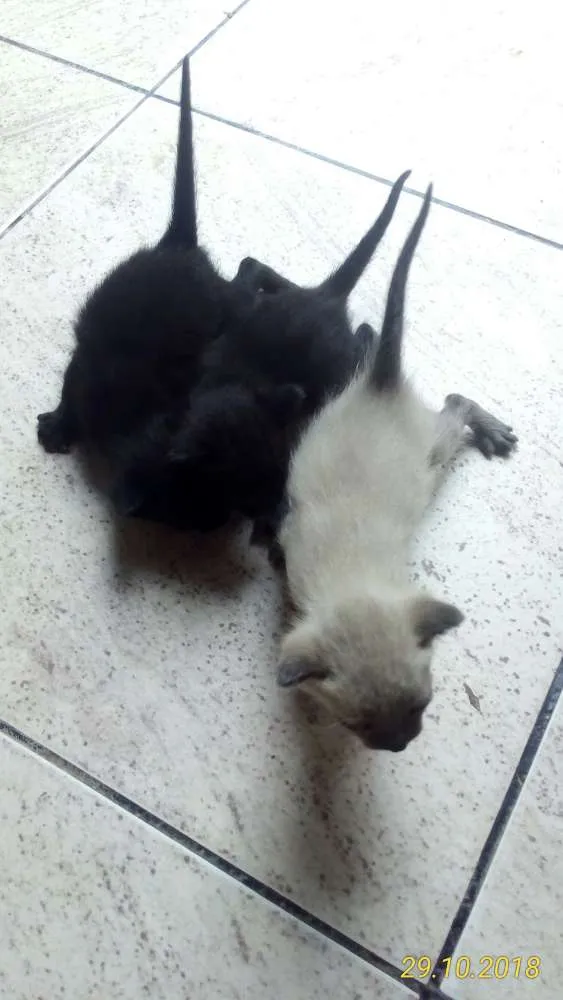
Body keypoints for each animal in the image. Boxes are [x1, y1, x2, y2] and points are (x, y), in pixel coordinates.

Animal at [275, 184, 517, 752]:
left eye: (422, 708)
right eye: (358, 726)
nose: (400, 745)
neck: (351, 580)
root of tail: (380, 385)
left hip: (434, 449)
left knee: (457, 402)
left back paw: (491, 431)